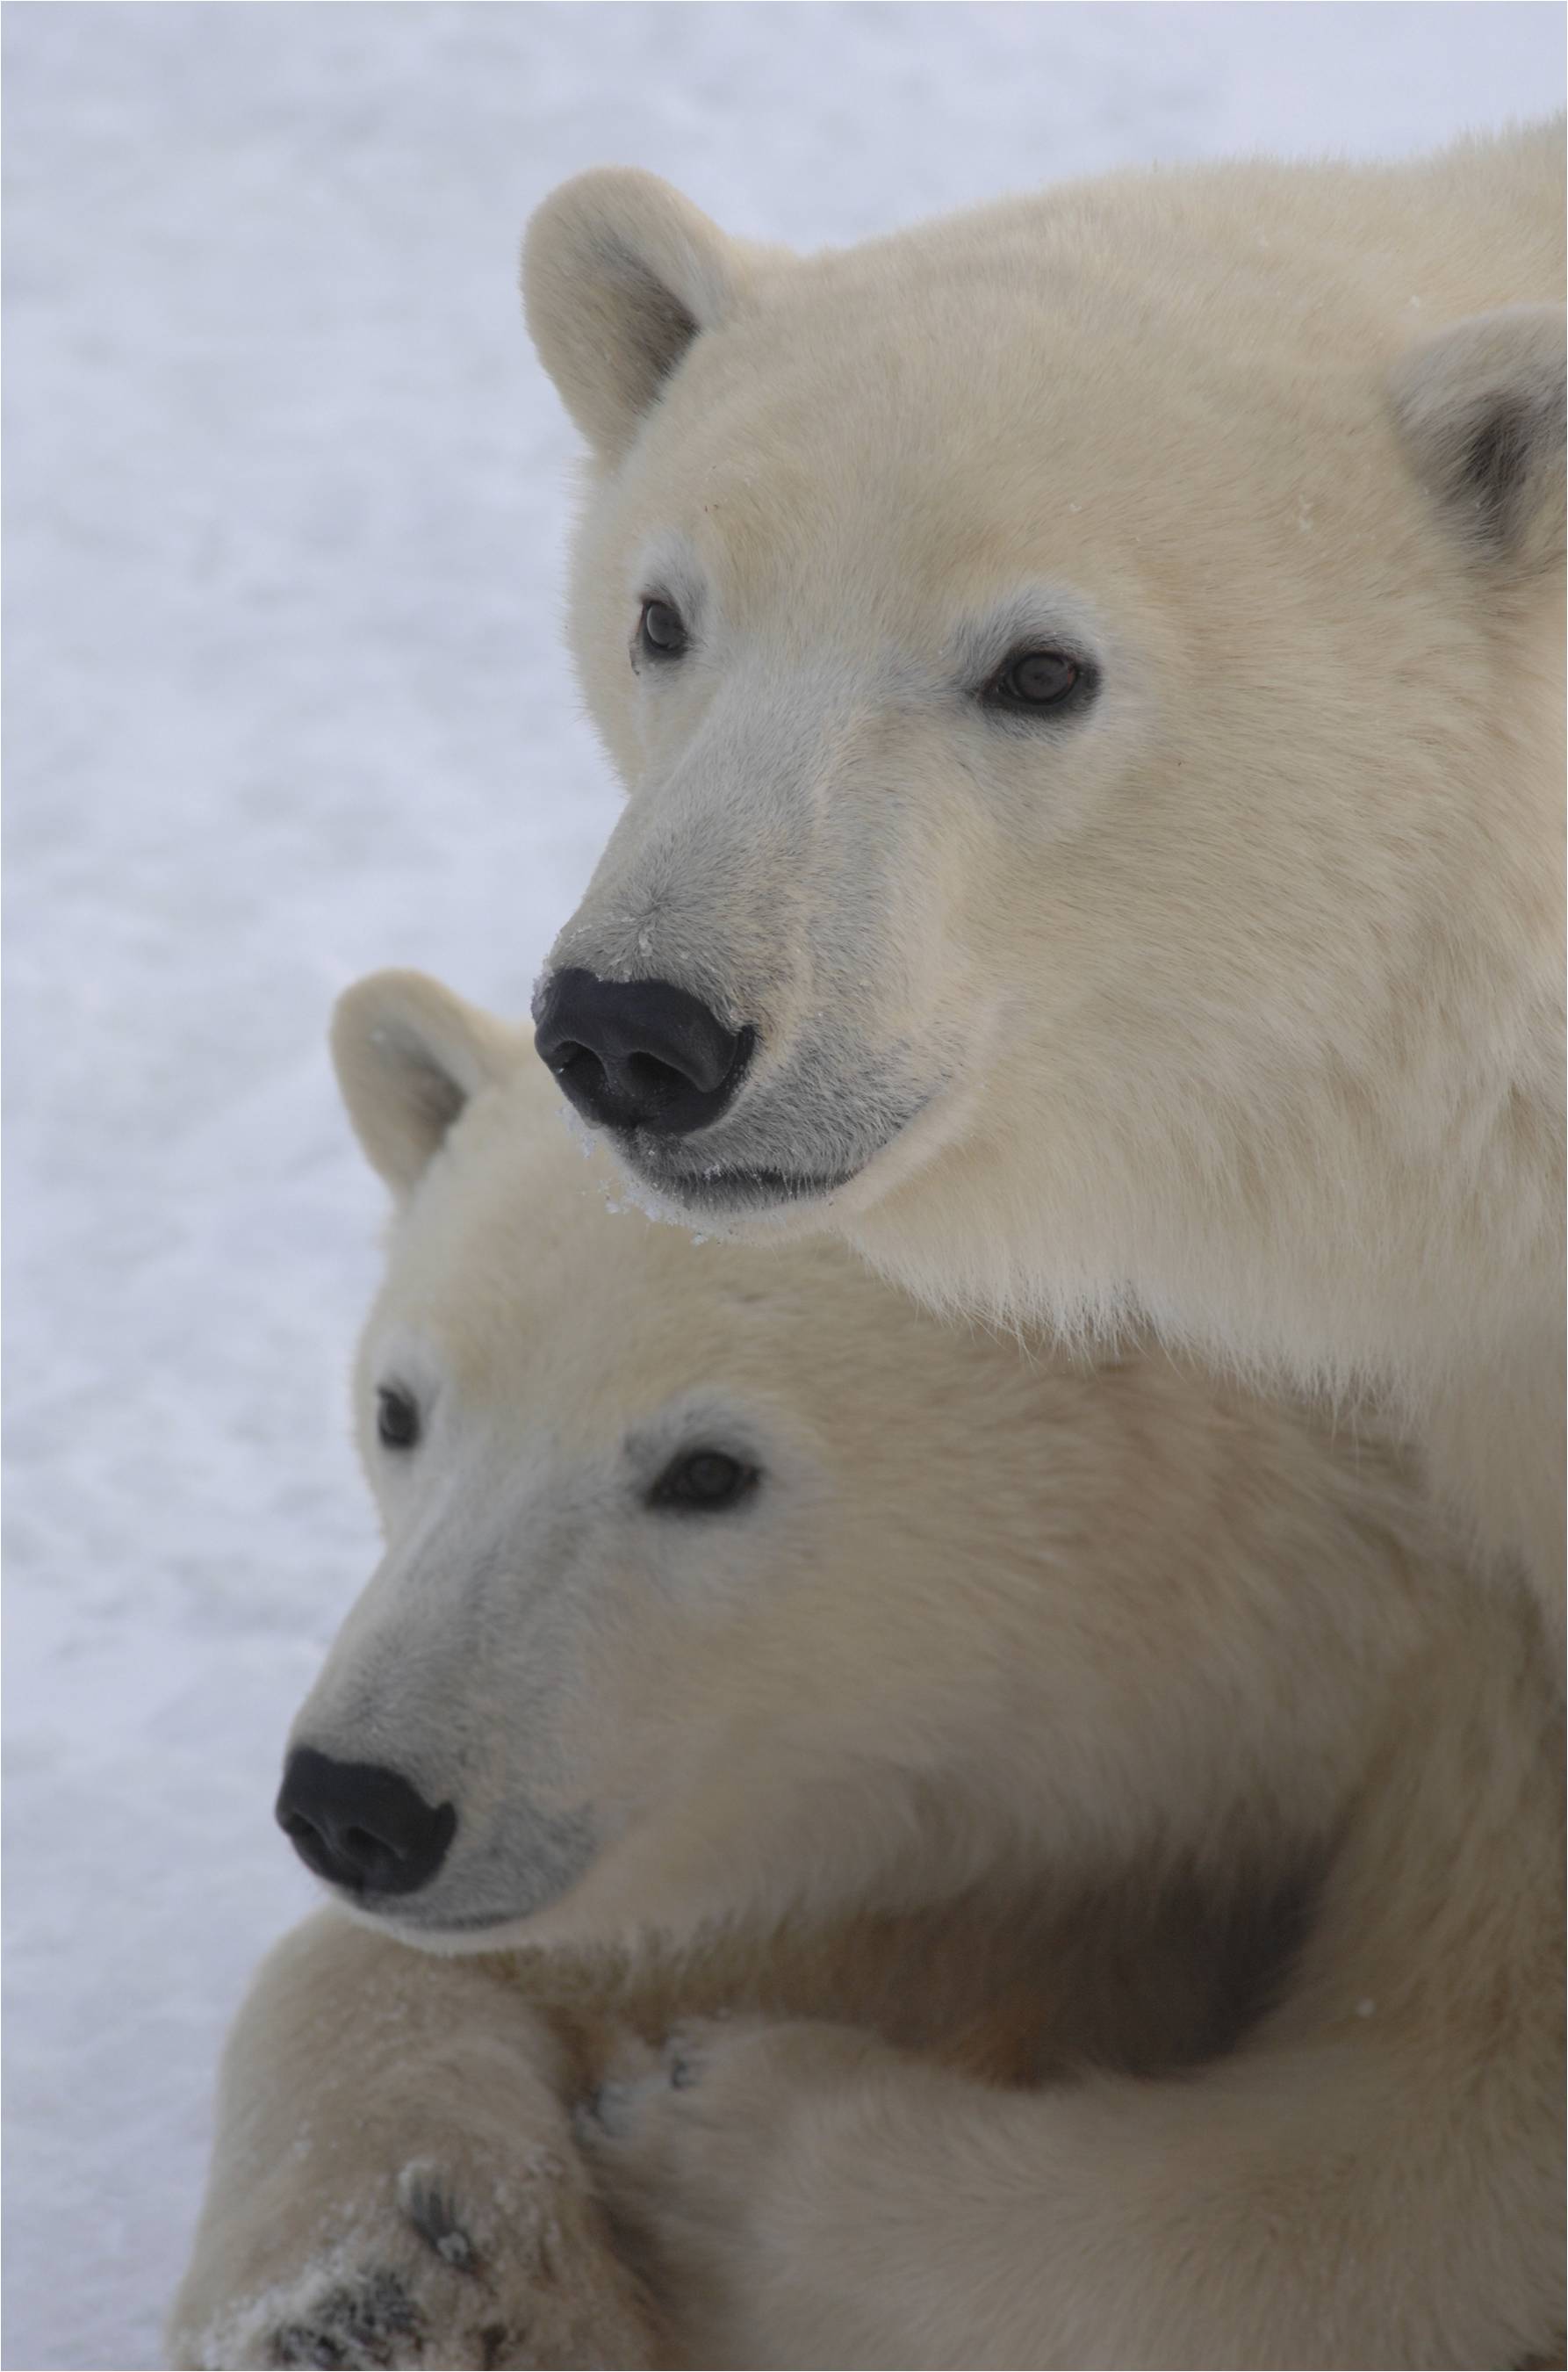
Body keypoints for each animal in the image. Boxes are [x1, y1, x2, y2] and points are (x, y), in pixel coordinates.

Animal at [168, 968, 1556, 2372]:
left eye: (708, 1470)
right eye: (398, 1409)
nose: (358, 1807)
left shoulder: (1484, 1707)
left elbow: (1438, 2157)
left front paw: (700, 2122)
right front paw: (398, 2286)